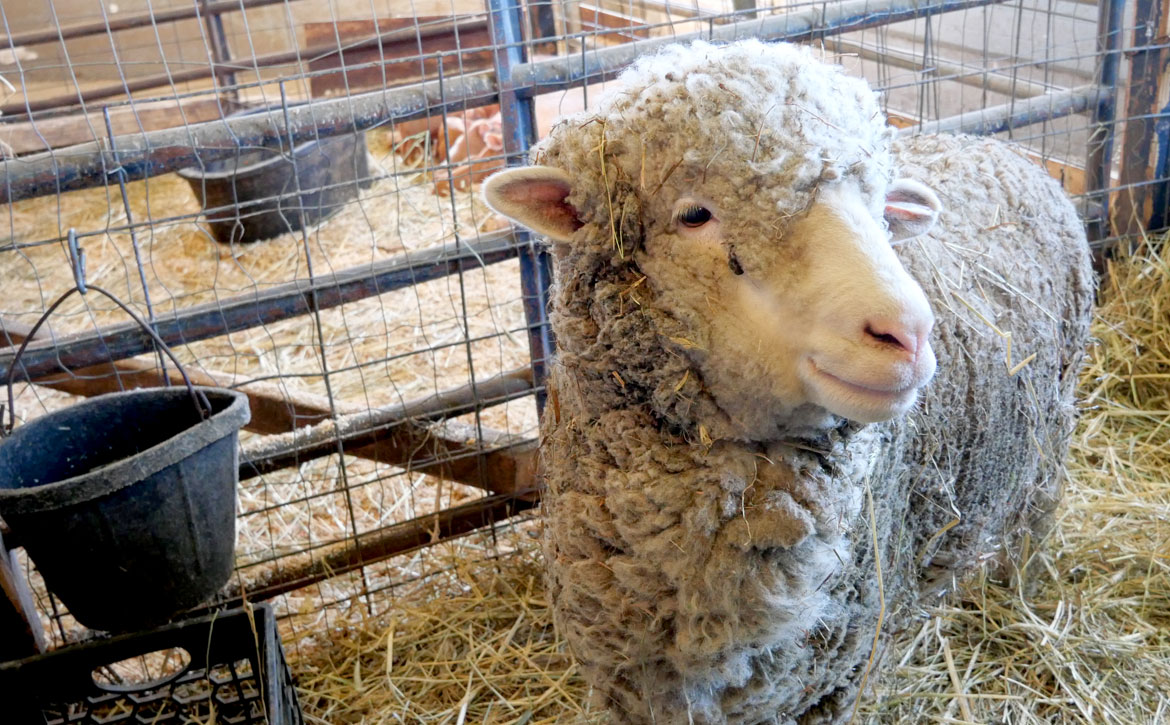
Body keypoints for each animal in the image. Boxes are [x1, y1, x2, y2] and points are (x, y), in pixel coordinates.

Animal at [483, 39, 1093, 724]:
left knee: (1035, 520)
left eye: (882, 209)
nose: (909, 333)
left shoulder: (836, 680)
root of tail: (1006, 150)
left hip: (1051, 433)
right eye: (694, 215)